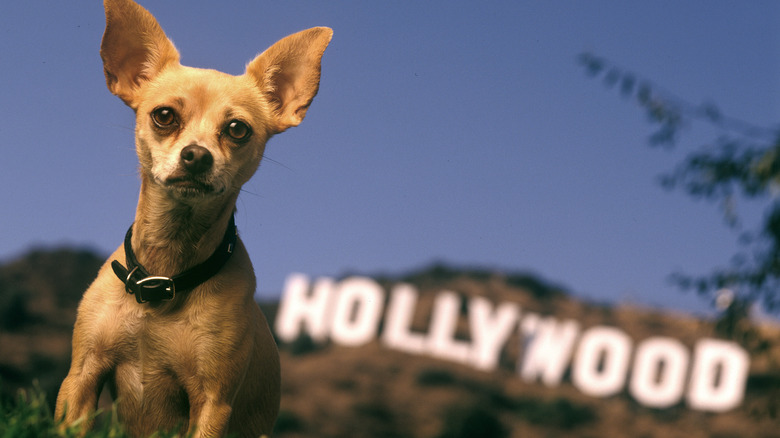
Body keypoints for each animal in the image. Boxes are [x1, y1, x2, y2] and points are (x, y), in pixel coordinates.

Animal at [54, 1, 330, 436]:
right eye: (164, 116)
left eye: (237, 129)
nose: (197, 155)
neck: (165, 274)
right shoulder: (82, 376)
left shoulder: (213, 402)